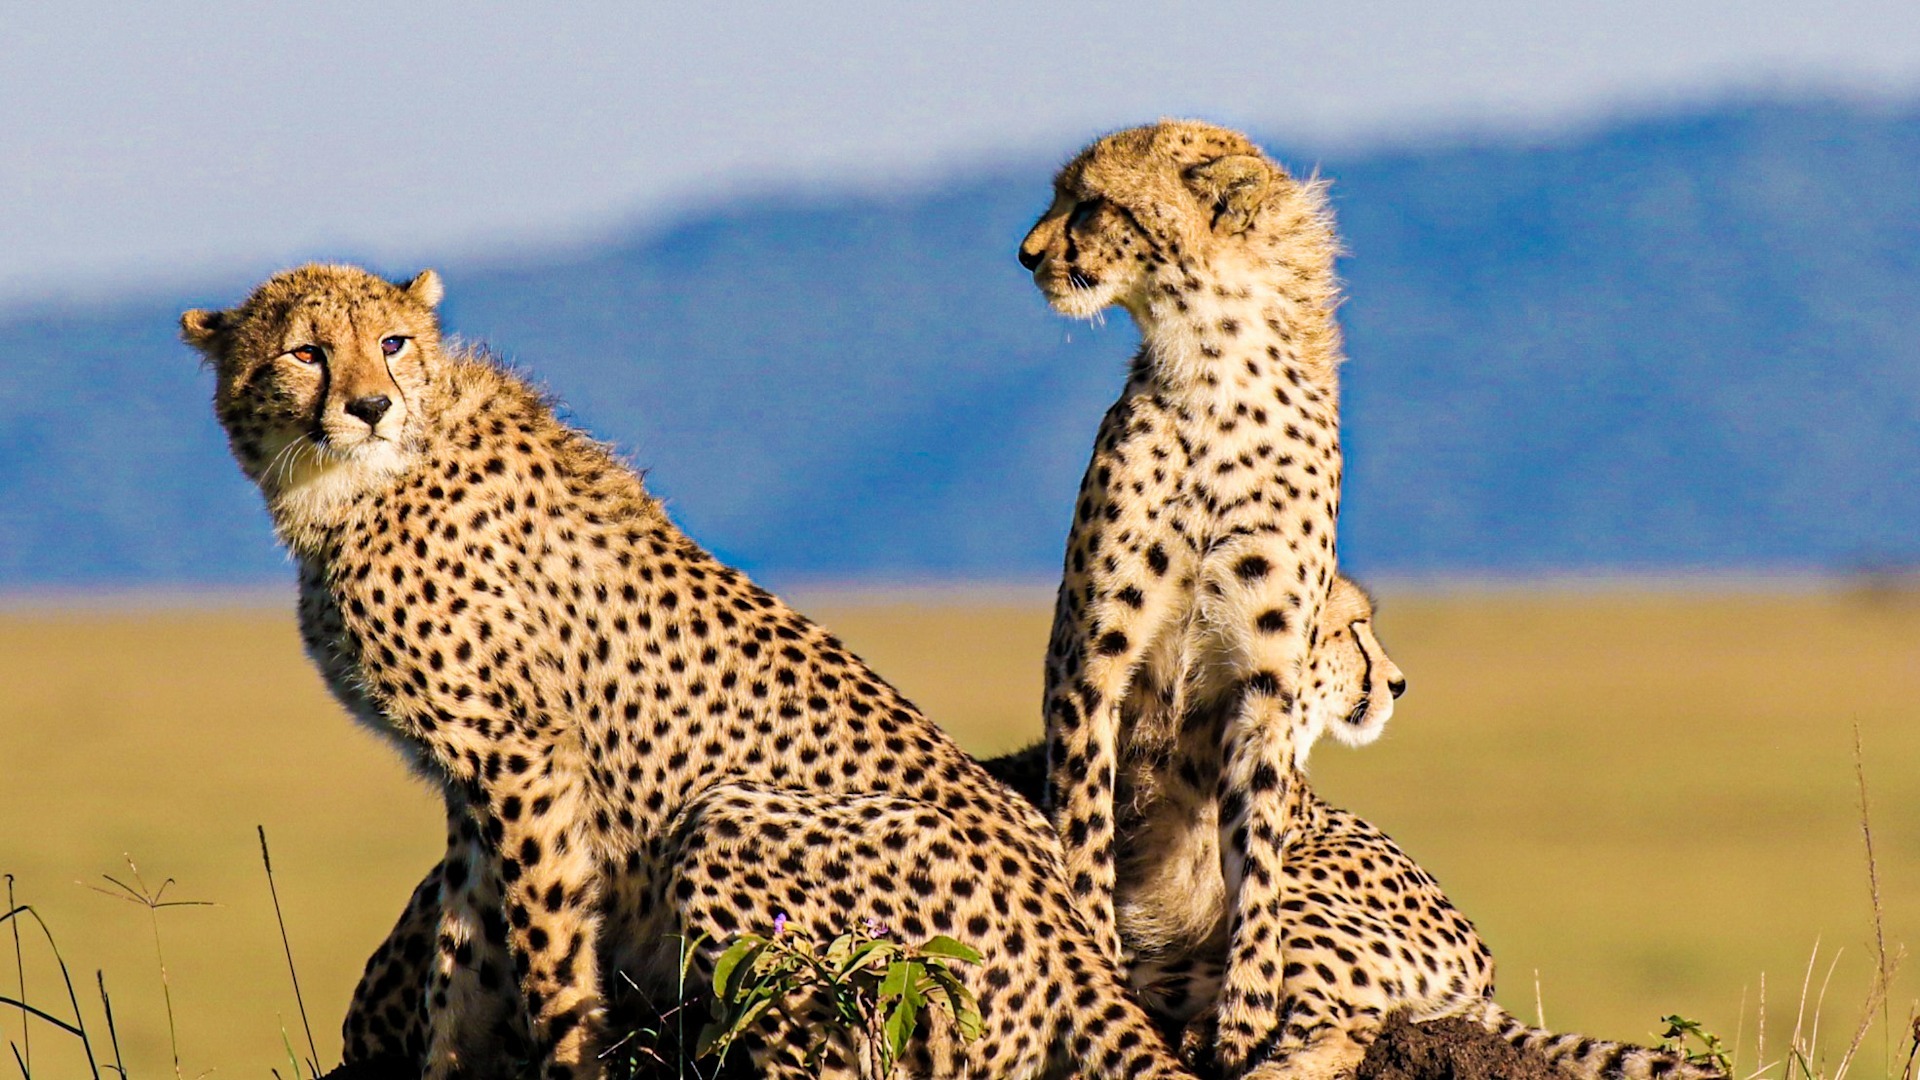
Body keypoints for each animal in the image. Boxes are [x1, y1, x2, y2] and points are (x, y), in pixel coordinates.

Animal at [181, 264, 1199, 1080]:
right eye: (307, 353)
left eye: (391, 344)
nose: (370, 405)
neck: (341, 486)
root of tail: (1072, 938)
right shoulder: (473, 779)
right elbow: (464, 956)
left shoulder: (521, 753)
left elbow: (546, 945)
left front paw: (567, 1059)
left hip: (736, 832)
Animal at [1018, 119, 1352, 1076]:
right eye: (1061, 196)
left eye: (1091, 202)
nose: (1027, 255)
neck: (1215, 366)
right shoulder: (1090, 657)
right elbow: (1083, 824)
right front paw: (1093, 952)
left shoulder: (1267, 679)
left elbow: (1258, 854)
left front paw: (1247, 1013)